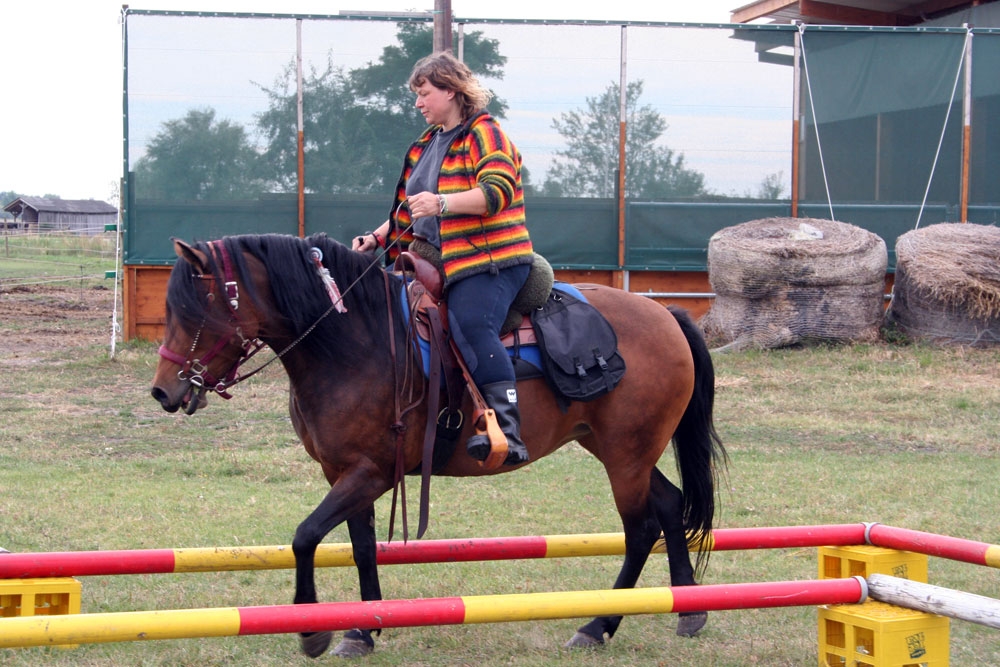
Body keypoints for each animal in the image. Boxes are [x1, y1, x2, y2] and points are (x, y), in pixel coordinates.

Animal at [150, 234, 728, 656]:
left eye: (193, 311)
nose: (164, 391)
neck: (354, 342)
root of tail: (667, 316)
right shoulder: (345, 473)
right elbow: (360, 546)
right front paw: (362, 629)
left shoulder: (371, 473)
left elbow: (305, 536)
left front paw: (314, 630)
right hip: (618, 449)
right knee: (671, 504)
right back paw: (687, 608)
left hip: (626, 455)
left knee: (641, 528)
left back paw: (599, 624)